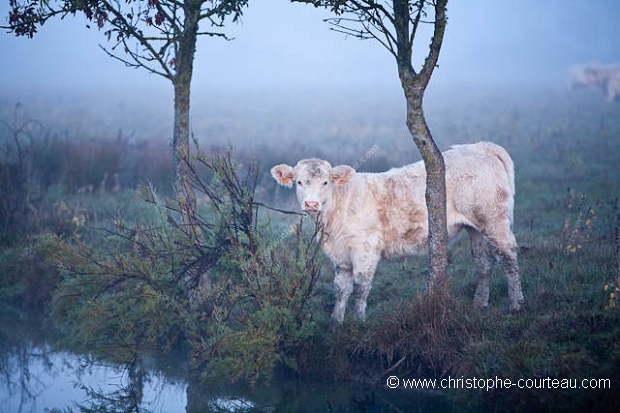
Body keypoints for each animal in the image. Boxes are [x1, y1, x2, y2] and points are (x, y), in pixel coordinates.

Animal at [270, 142, 524, 322]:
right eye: (299, 182)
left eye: (325, 182)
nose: (311, 204)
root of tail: (481, 146)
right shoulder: (340, 256)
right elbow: (341, 289)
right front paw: (336, 322)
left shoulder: (366, 248)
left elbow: (361, 286)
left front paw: (358, 321)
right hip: (476, 227)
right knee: (484, 263)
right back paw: (479, 304)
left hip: (494, 220)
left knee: (509, 256)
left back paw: (516, 305)